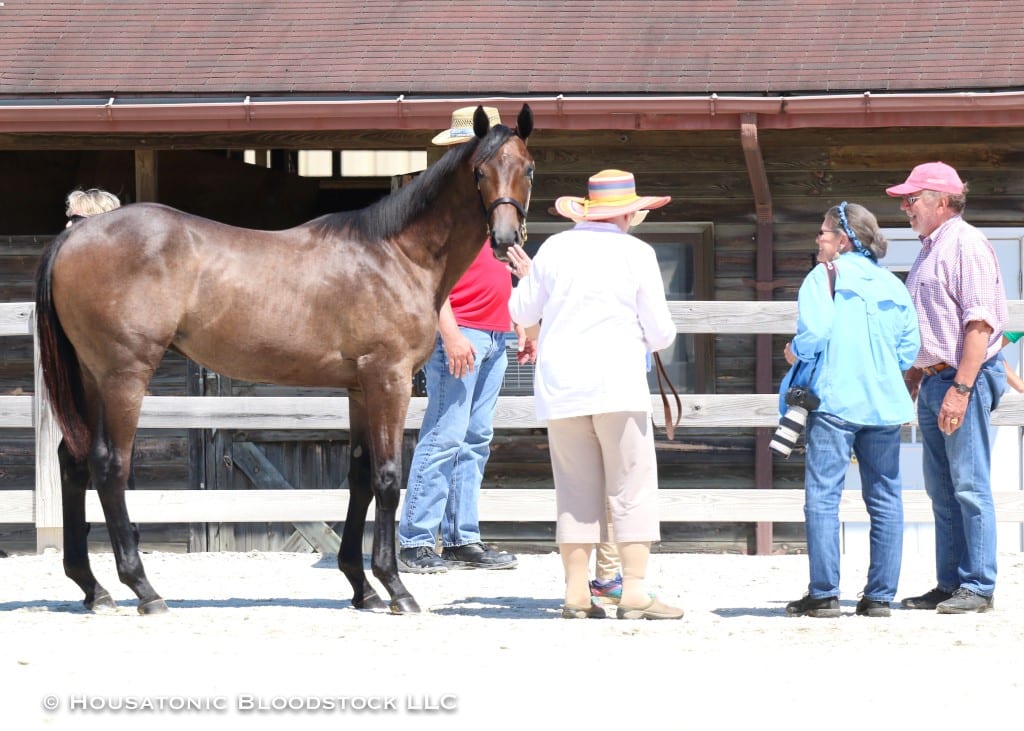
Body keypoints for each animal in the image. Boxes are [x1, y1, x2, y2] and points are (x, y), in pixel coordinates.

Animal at [33, 103, 536, 614]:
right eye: (480, 171)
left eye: (528, 168)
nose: (504, 239)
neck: (395, 255)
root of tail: (75, 236)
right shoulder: (388, 380)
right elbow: (388, 478)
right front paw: (395, 587)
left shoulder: (359, 388)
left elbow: (358, 477)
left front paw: (362, 587)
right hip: (123, 376)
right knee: (110, 465)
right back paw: (143, 589)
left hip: (90, 376)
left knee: (73, 461)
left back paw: (93, 588)